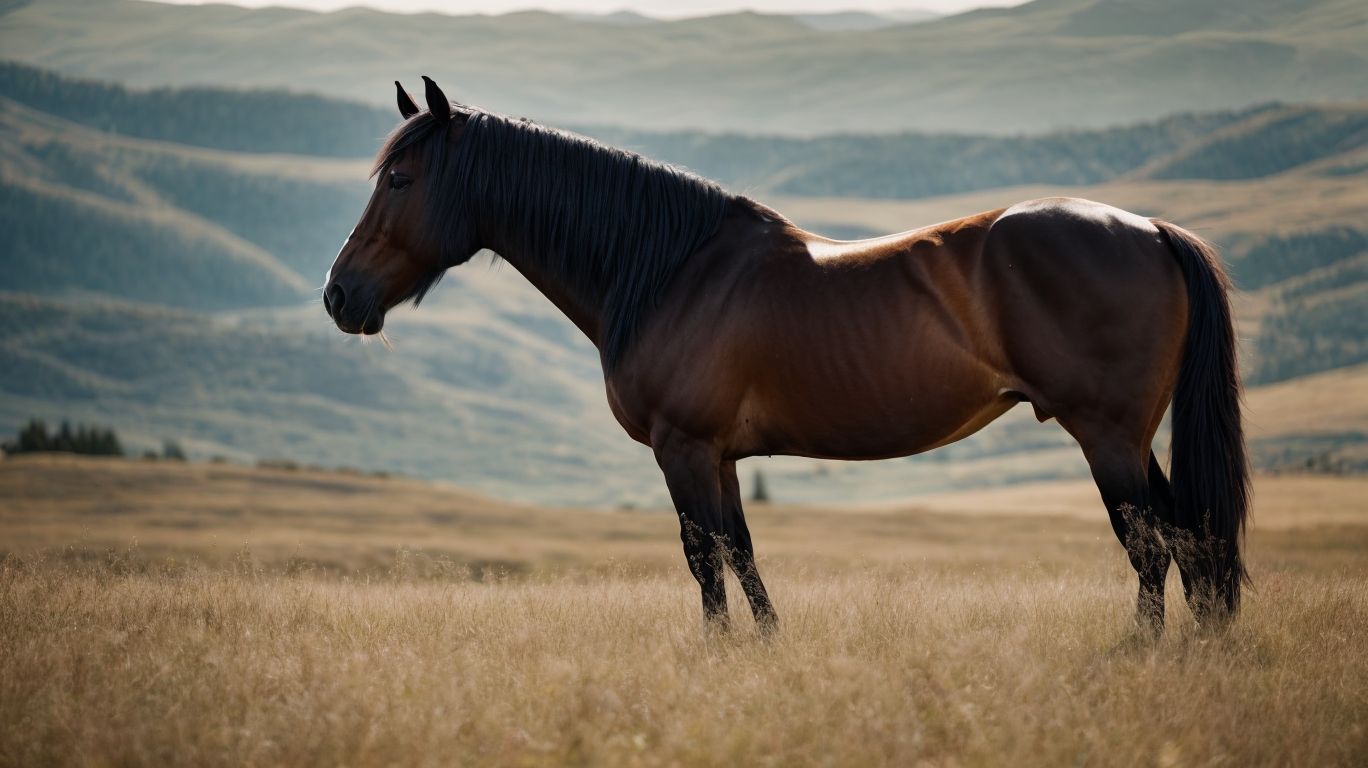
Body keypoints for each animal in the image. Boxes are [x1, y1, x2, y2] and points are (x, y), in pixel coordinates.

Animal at [324, 76, 1249, 637]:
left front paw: (718, 653)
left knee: (1152, 546)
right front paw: (764, 650)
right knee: (1189, 542)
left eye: (401, 179)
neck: (668, 269)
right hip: (1130, 438)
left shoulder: (683, 448)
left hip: (1106, 436)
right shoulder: (722, 456)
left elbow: (702, 557)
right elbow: (740, 550)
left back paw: (1142, 650)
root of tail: (1149, 229)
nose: (339, 296)